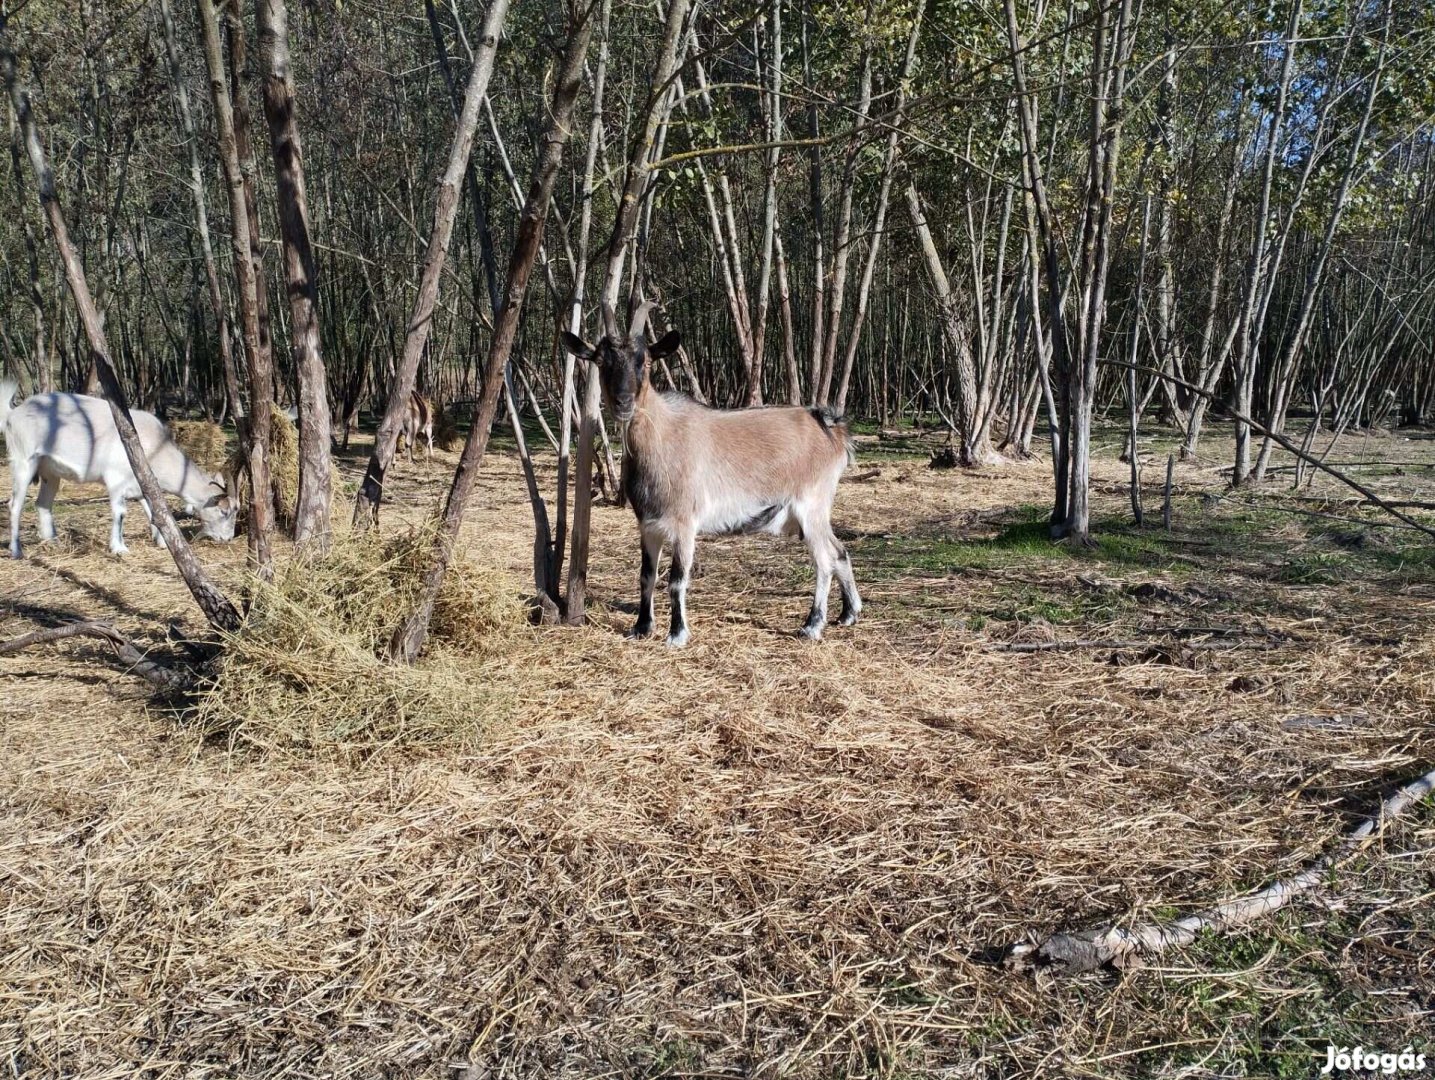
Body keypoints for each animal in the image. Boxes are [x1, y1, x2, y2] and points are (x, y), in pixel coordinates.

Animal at [0, 378, 235, 559]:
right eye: (224, 511)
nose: (228, 538)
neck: (153, 446)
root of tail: (13, 414)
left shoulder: (141, 486)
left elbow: (154, 512)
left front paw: (162, 542)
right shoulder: (115, 479)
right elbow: (120, 513)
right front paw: (119, 548)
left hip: (50, 471)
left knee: (43, 503)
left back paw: (53, 541)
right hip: (23, 460)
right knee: (15, 505)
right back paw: (17, 550)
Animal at [556, 299, 849, 645]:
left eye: (646, 361)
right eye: (601, 361)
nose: (623, 402)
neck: (663, 435)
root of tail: (831, 428)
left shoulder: (685, 524)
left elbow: (676, 580)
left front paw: (677, 633)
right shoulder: (649, 526)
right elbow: (646, 576)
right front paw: (642, 627)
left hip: (811, 505)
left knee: (824, 561)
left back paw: (813, 625)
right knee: (840, 551)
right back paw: (849, 614)